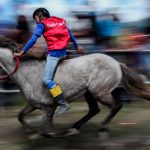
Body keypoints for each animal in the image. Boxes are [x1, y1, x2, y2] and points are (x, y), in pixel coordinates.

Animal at [0, 36, 150, 137]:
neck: (26, 72)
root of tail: (117, 63)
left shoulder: (49, 107)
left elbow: (46, 132)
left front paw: (52, 134)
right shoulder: (33, 104)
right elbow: (20, 116)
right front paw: (31, 132)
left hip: (100, 92)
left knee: (116, 106)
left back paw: (101, 129)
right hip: (89, 92)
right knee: (95, 110)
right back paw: (75, 128)